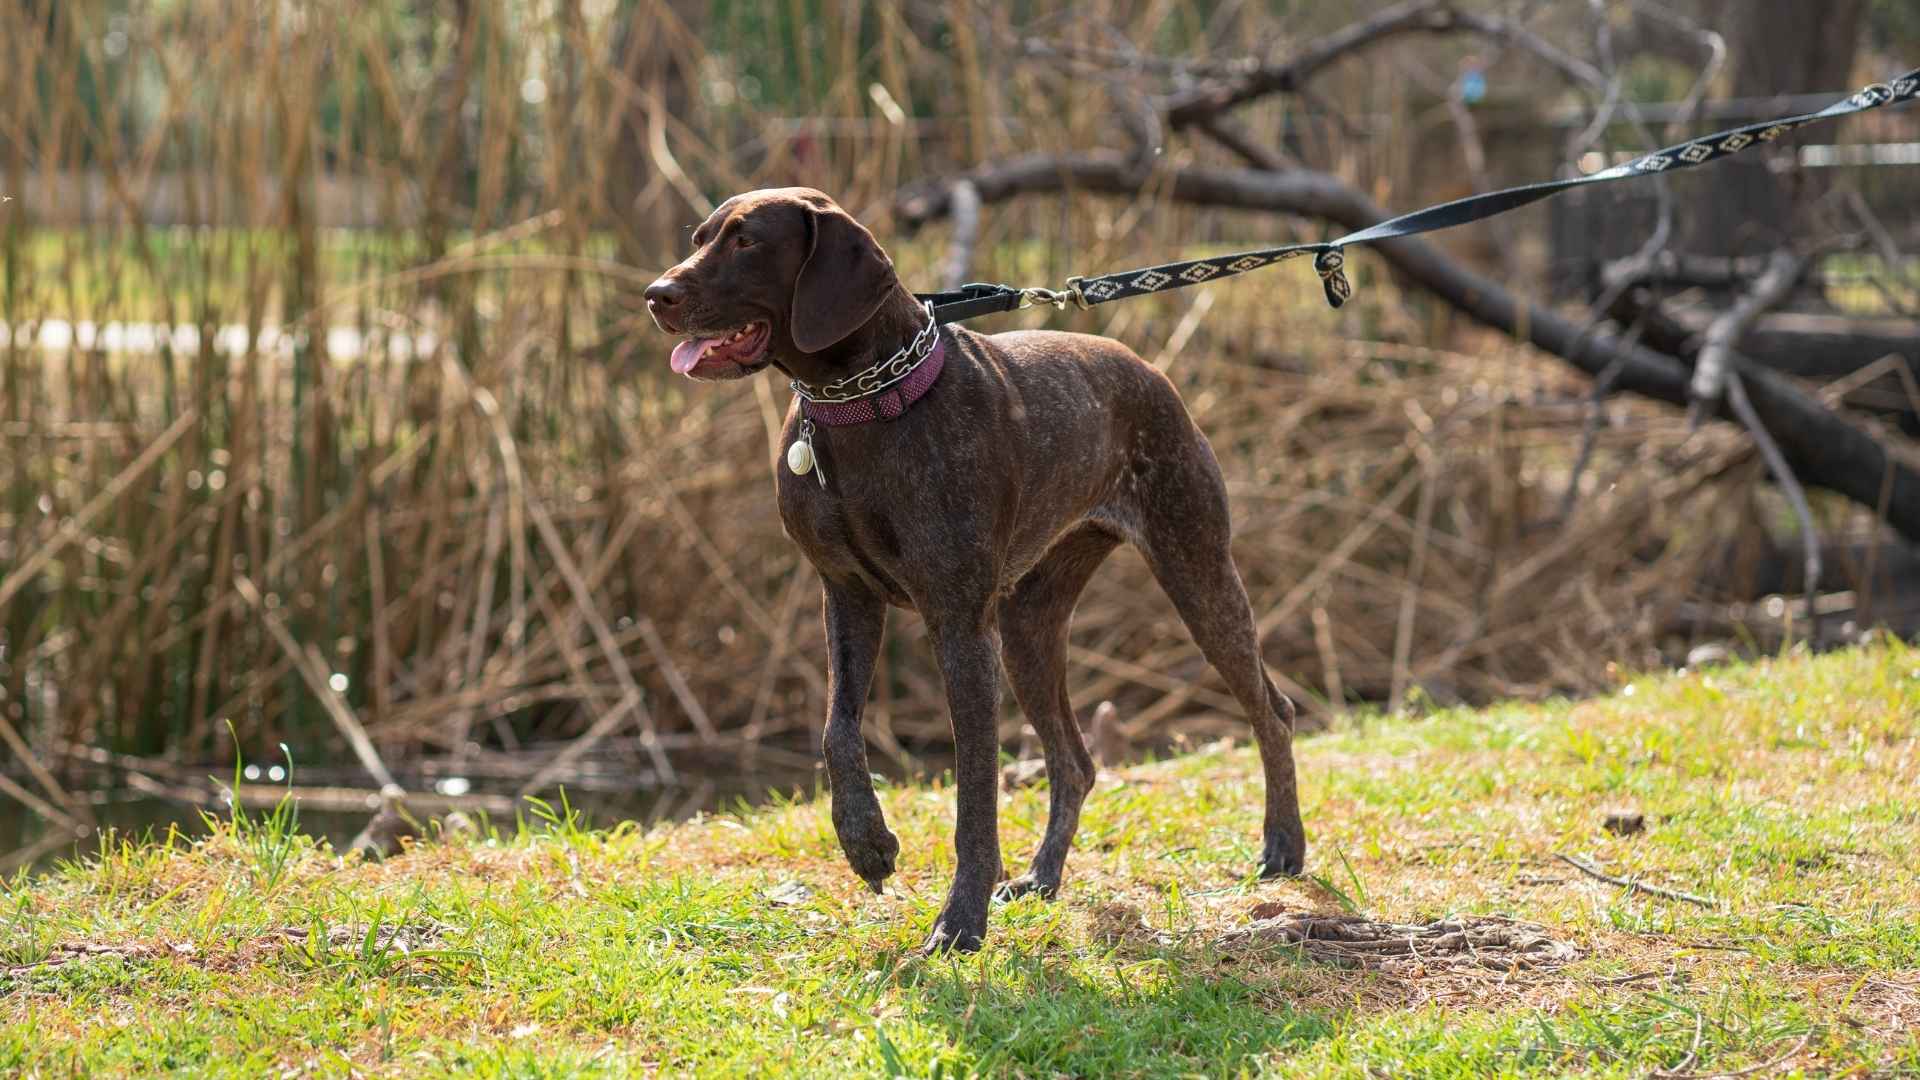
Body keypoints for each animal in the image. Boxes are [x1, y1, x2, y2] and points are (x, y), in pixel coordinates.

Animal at [648, 189, 1305, 945]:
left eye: (747, 241)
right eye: (699, 238)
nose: (655, 295)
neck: (859, 403)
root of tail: (1145, 368)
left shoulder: (960, 629)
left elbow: (974, 797)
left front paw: (961, 920)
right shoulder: (846, 597)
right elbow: (838, 731)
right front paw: (866, 843)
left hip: (1195, 572)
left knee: (1273, 712)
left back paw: (1284, 847)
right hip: (1027, 630)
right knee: (1075, 762)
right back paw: (1043, 877)